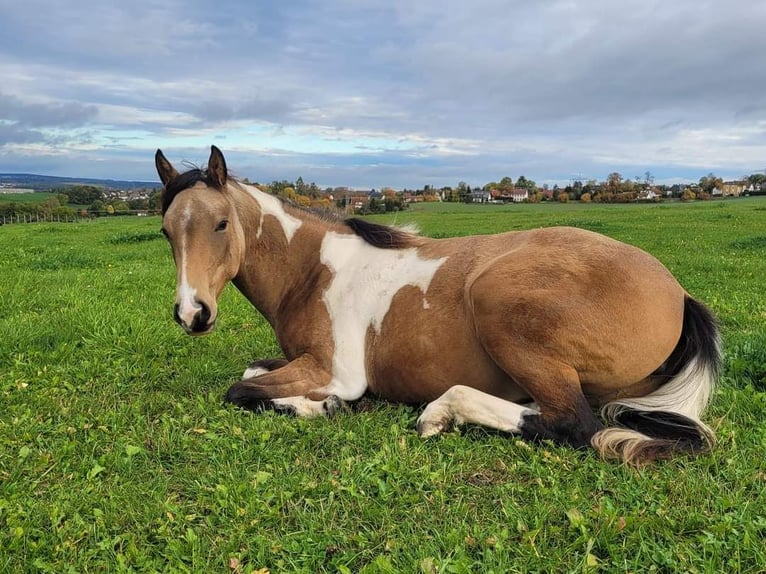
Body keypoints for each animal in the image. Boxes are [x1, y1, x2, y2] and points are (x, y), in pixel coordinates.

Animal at [155, 145, 721, 465]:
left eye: (221, 224)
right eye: (165, 231)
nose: (192, 314)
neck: (313, 271)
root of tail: (678, 296)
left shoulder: (333, 371)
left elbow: (240, 389)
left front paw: (321, 406)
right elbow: (252, 371)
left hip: (499, 304)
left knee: (573, 423)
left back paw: (443, 412)